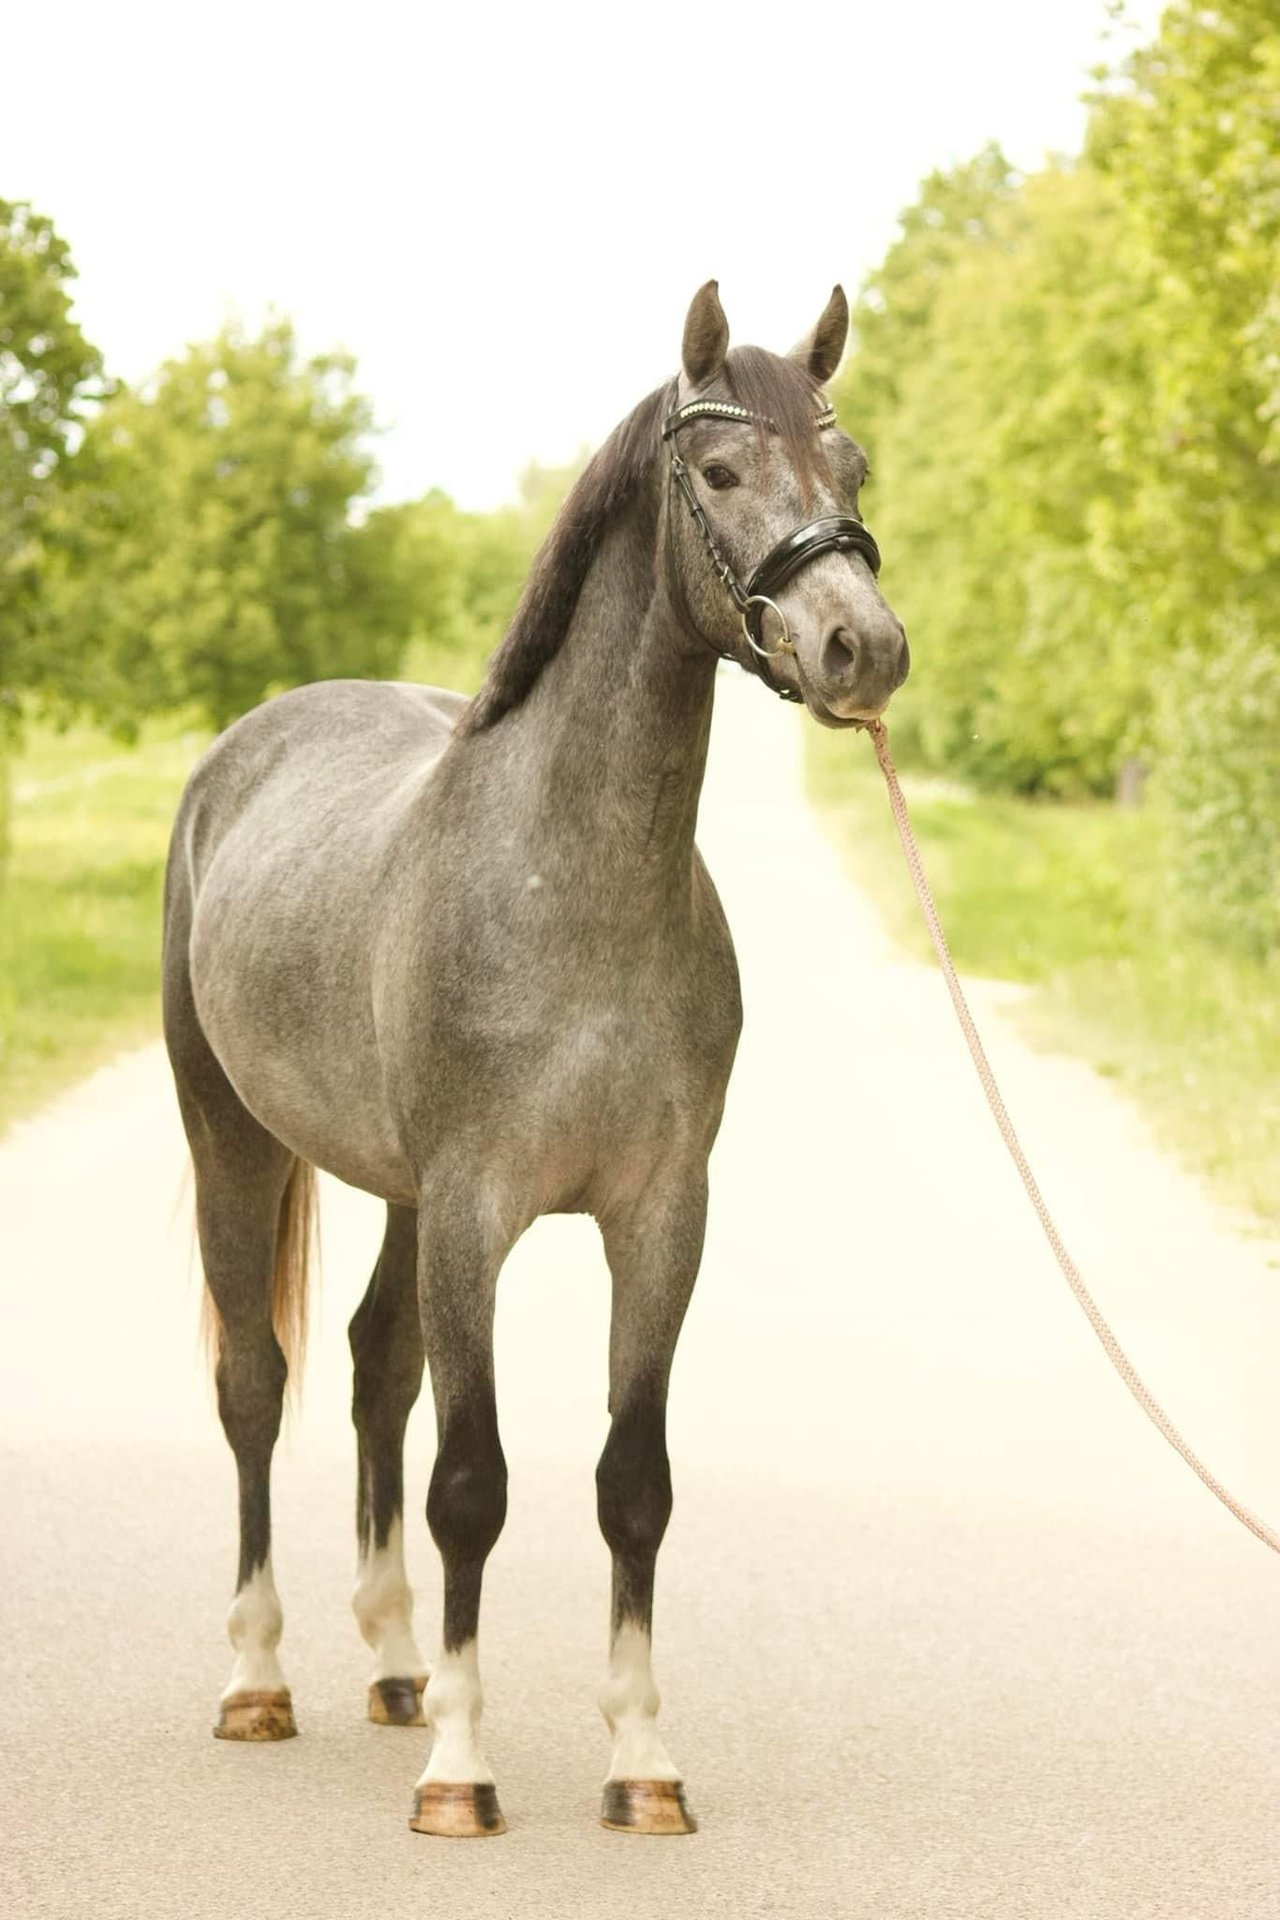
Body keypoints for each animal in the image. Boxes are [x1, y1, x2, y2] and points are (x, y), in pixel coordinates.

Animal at [165, 278, 909, 1835]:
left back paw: (395, 1668)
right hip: (233, 1137)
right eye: (717, 472)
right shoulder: (476, 1211)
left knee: (374, 1369)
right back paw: (259, 1681)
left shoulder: (660, 1215)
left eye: (853, 464)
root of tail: (239, 753)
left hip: (394, 1189)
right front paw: (462, 1770)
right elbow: (473, 1483)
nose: (862, 649)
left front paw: (641, 1763)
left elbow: (632, 1481)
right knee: (256, 1385)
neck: (570, 884)